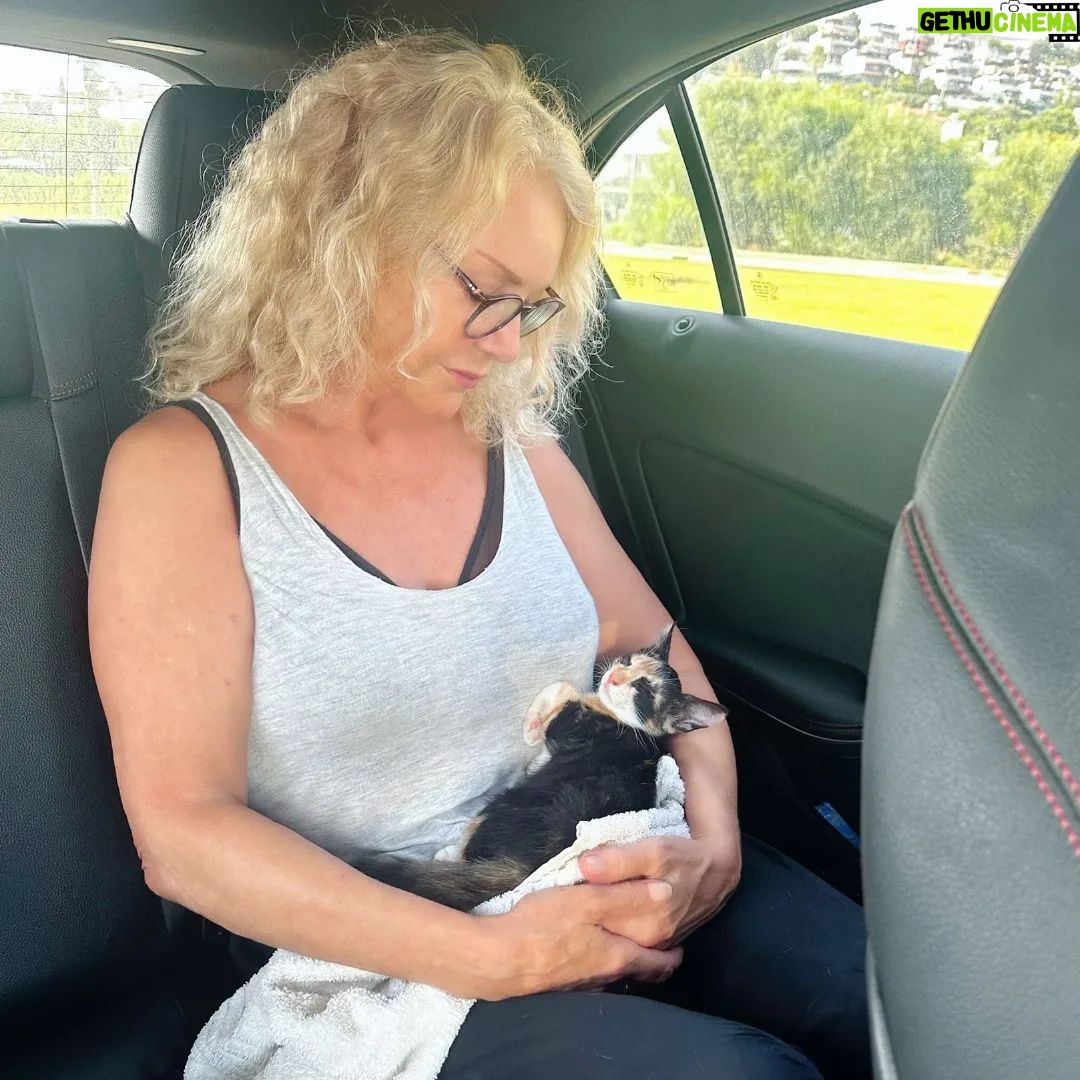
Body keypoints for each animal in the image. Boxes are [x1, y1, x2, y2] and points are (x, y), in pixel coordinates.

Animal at [348, 624, 728, 910]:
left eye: (644, 692)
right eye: (626, 660)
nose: (614, 678)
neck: (623, 722)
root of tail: (530, 867)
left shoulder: (574, 726)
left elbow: (564, 688)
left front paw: (532, 726)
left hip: (506, 802)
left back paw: (448, 853)